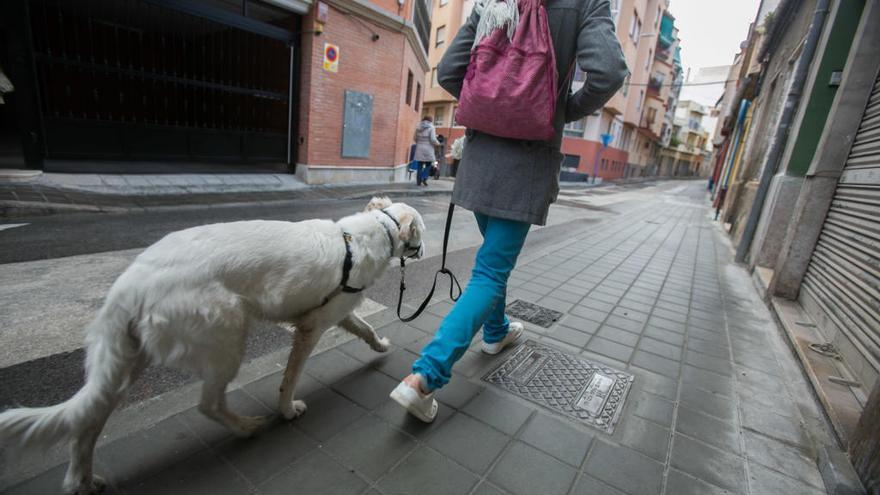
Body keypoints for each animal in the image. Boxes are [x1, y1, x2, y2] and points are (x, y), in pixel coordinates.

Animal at [0, 198, 426, 495]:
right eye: (421, 231)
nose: (424, 251)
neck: (372, 233)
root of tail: (130, 282)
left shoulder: (333, 314)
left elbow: (365, 328)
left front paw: (381, 345)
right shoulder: (310, 328)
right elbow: (290, 378)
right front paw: (287, 410)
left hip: (126, 362)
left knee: (88, 422)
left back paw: (83, 482)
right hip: (227, 337)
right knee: (208, 403)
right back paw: (246, 427)